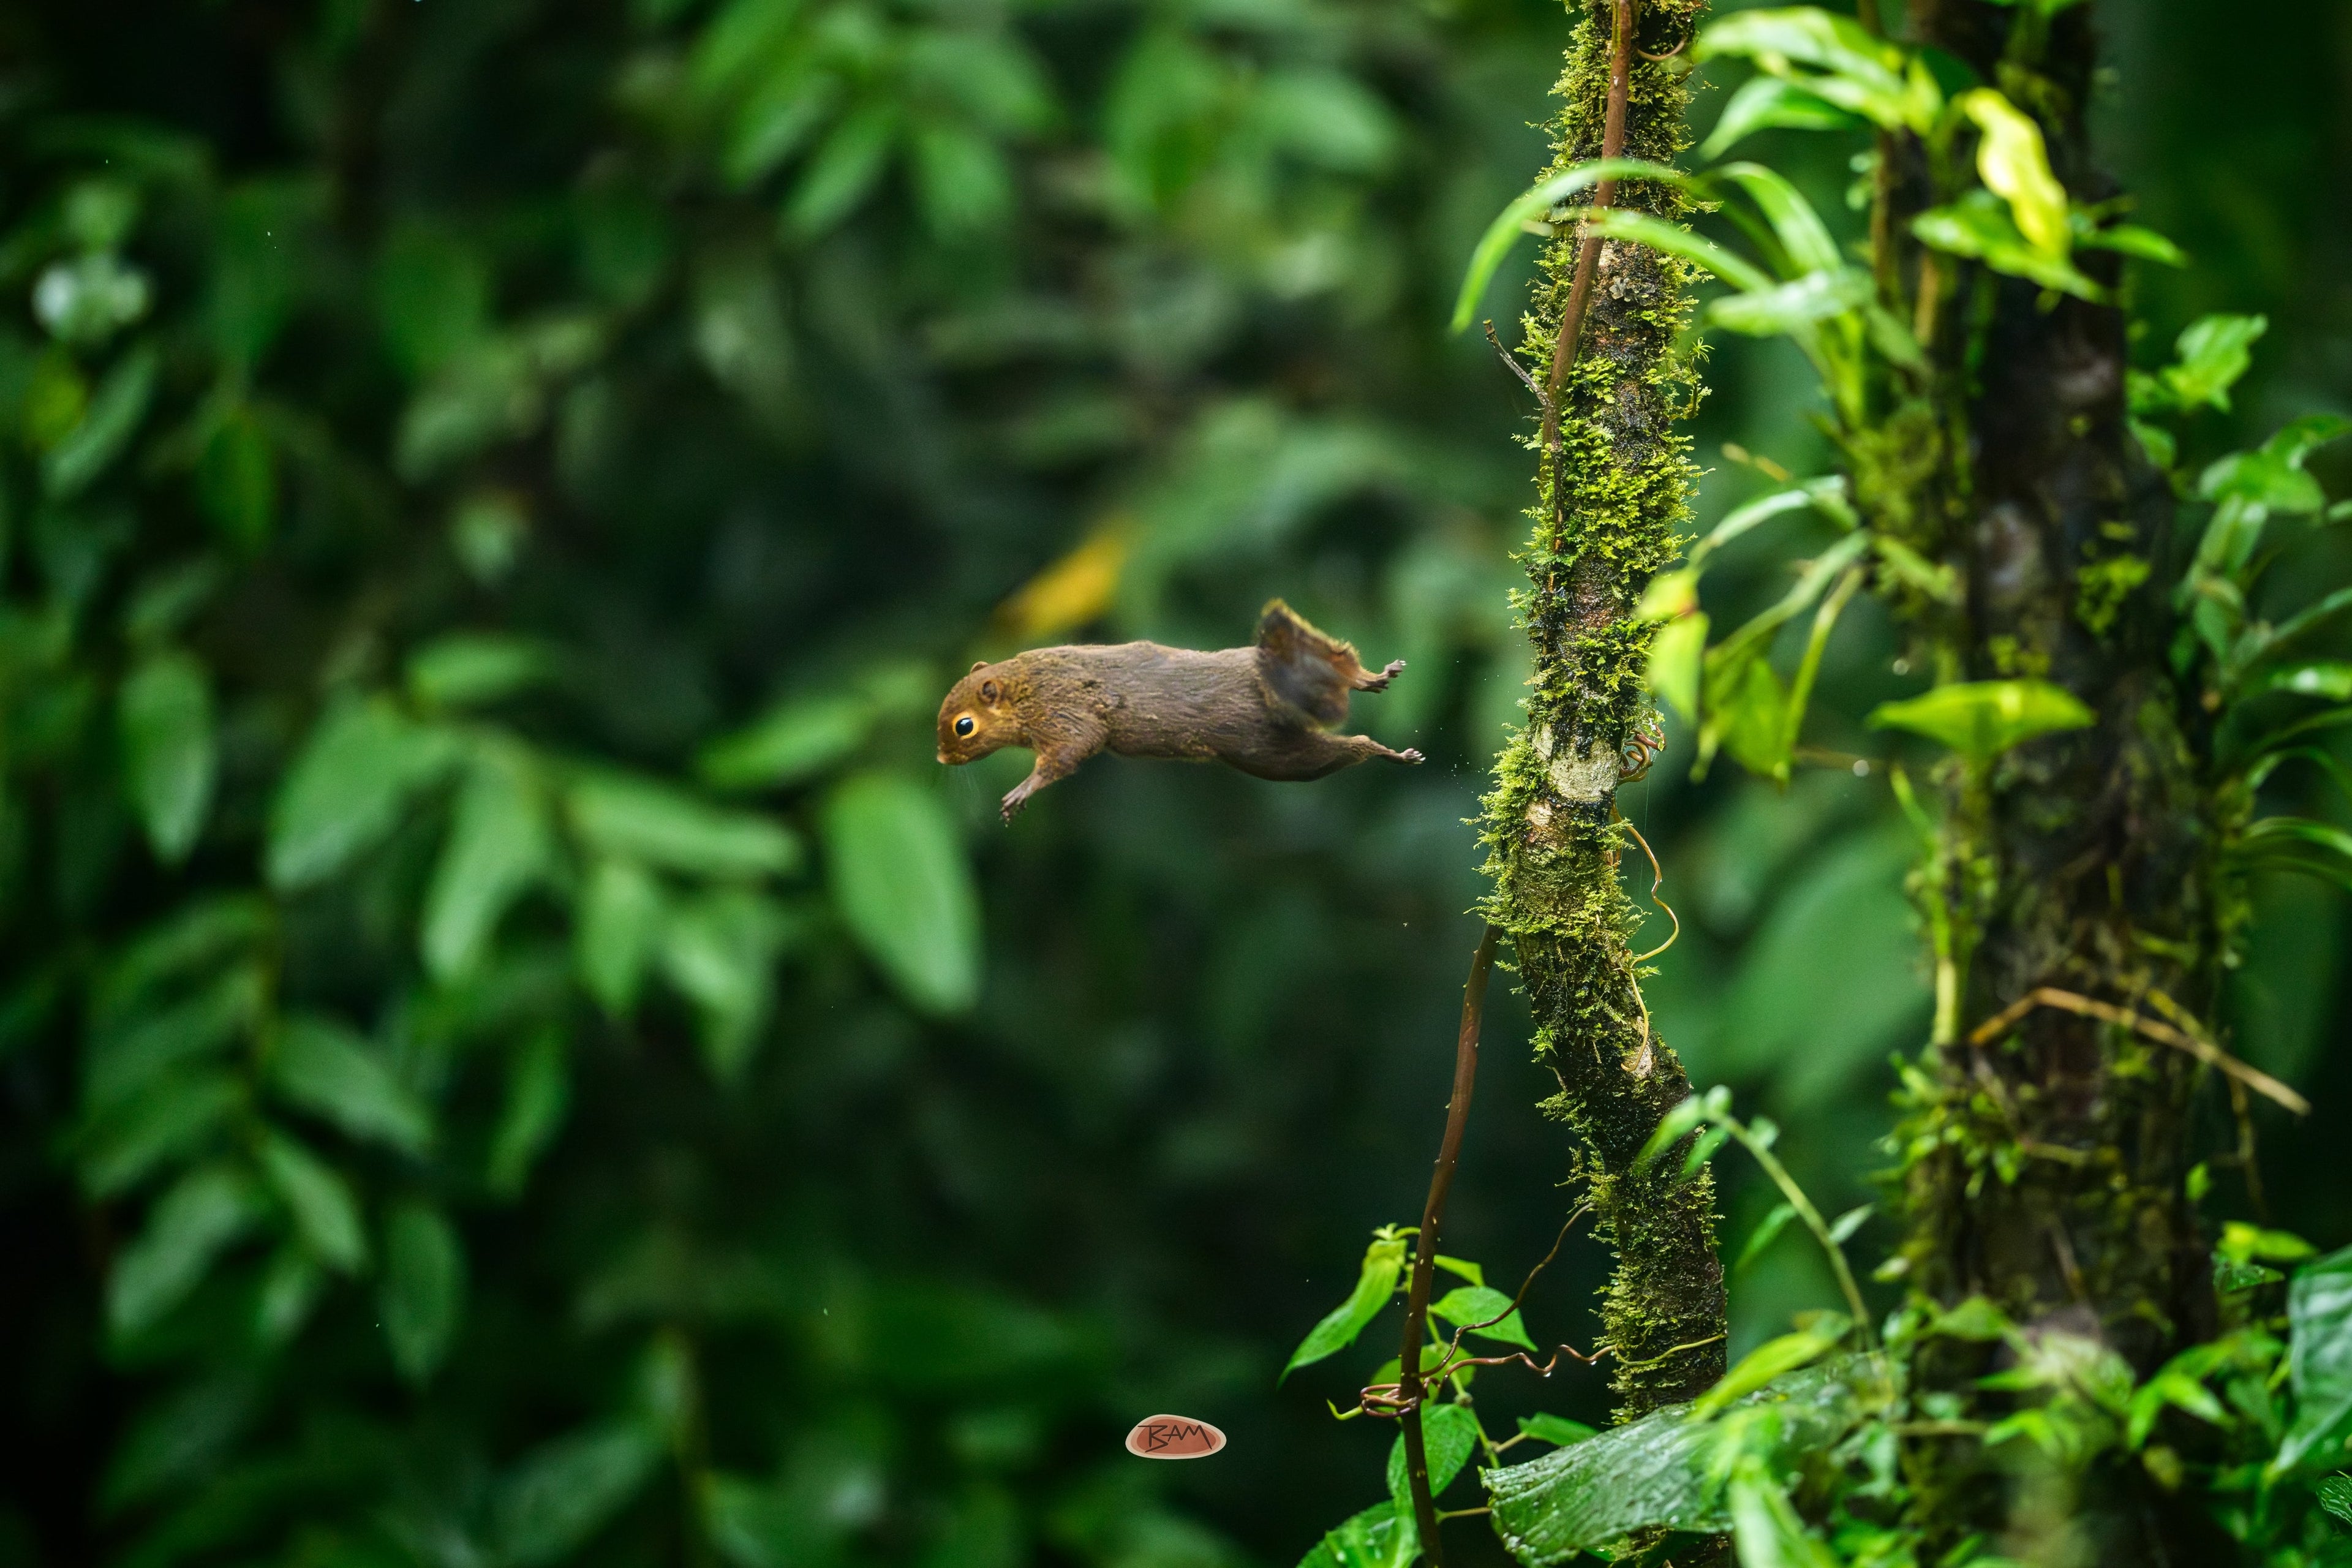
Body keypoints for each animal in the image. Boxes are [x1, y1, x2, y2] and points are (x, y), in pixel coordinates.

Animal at [937, 600, 1424, 821]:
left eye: (964, 726)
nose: (941, 759)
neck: (1026, 688)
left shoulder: (1064, 709)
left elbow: (1074, 747)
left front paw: (1023, 790)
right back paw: (1372, 682)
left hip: (1280, 758)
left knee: (1351, 746)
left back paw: (1389, 751)